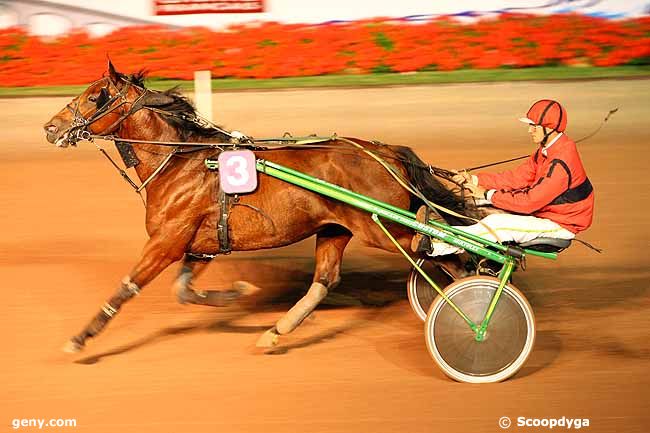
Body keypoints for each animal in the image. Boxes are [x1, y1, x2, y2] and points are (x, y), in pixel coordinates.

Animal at [43, 60, 480, 352]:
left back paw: (473, 306)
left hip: (386, 229)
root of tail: (385, 152)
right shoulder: (199, 246)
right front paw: (236, 294)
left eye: (93, 96)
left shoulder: (166, 241)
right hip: (336, 229)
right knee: (326, 280)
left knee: (446, 252)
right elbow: (185, 291)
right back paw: (276, 331)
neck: (181, 161)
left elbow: (127, 287)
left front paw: (80, 338)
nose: (51, 127)